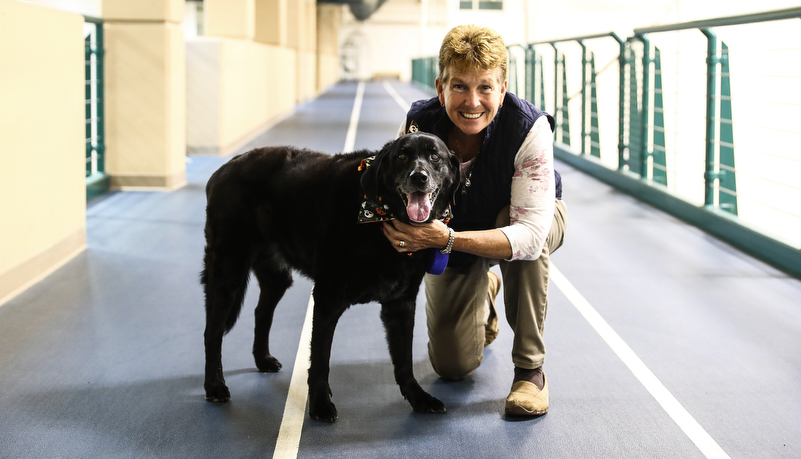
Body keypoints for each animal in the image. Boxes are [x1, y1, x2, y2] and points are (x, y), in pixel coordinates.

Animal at [202, 131, 462, 422]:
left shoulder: (401, 304)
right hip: (228, 271)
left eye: (434, 156)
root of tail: (225, 168)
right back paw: (214, 385)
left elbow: (404, 361)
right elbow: (319, 360)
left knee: (262, 313)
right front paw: (319, 405)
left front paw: (419, 399)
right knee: (212, 332)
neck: (378, 220)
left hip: (276, 277)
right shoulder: (327, 299)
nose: (419, 177)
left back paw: (262, 359)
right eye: (402, 156)